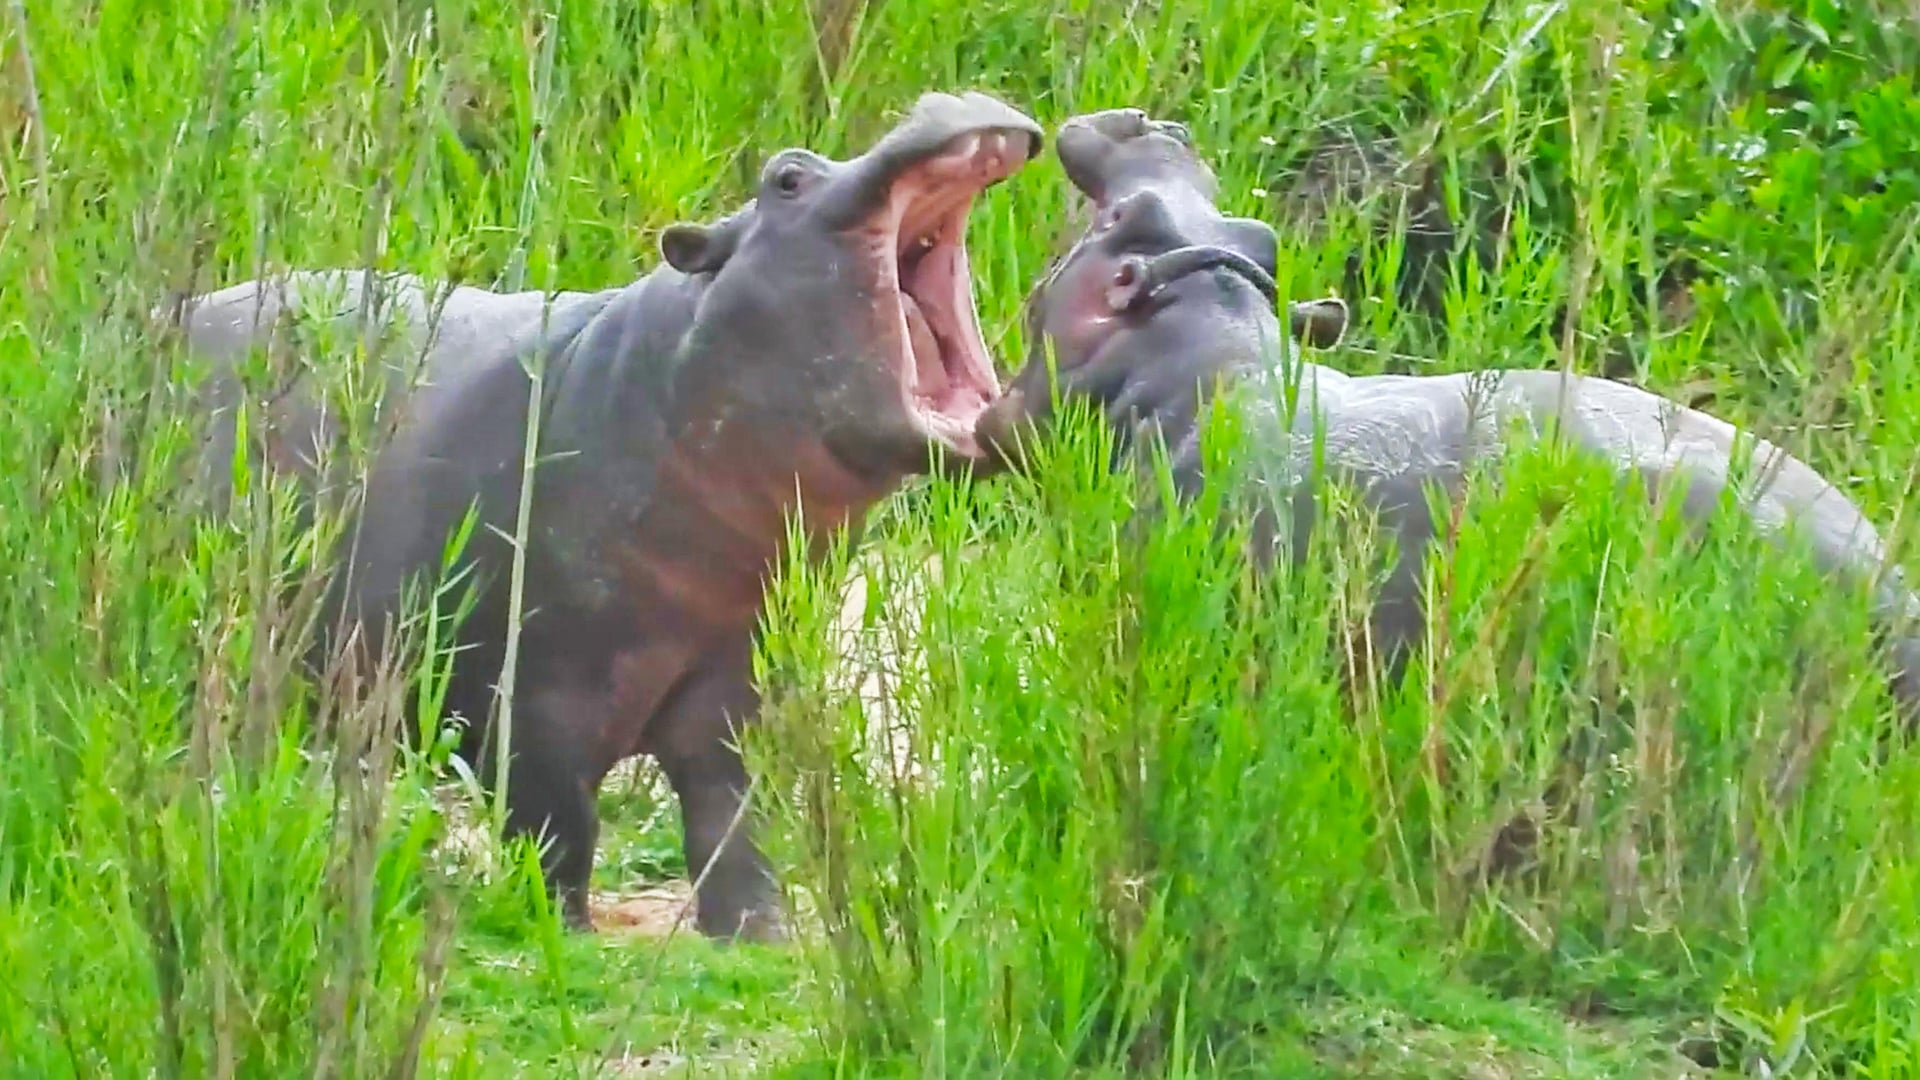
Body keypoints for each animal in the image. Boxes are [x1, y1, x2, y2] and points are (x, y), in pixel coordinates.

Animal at [169, 92, 1044, 940]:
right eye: (788, 177)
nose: (939, 99)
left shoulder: (735, 677)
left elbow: (734, 822)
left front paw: (760, 934)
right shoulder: (531, 696)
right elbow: (558, 824)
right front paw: (561, 927)